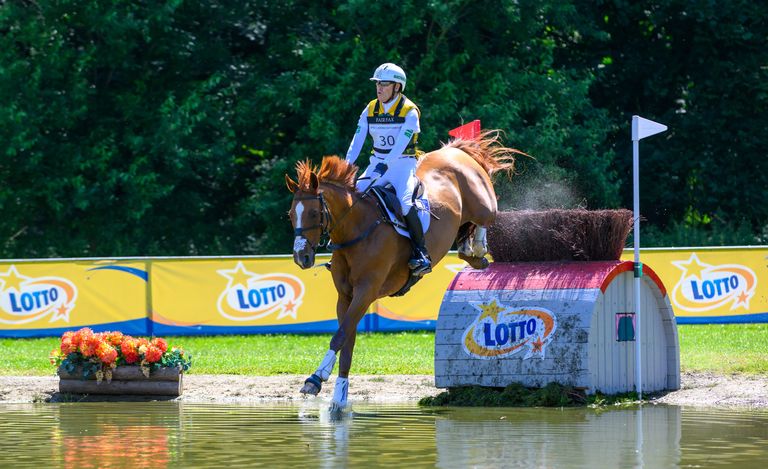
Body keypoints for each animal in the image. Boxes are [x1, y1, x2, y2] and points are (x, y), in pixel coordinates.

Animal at [285, 131, 518, 412]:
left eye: (313, 213)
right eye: (291, 215)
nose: (301, 257)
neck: (356, 230)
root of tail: (455, 151)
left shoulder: (366, 291)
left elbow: (340, 336)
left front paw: (315, 380)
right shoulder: (346, 296)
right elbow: (348, 339)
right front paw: (339, 398)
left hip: (482, 201)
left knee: (487, 216)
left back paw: (479, 248)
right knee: (467, 235)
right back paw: (470, 252)